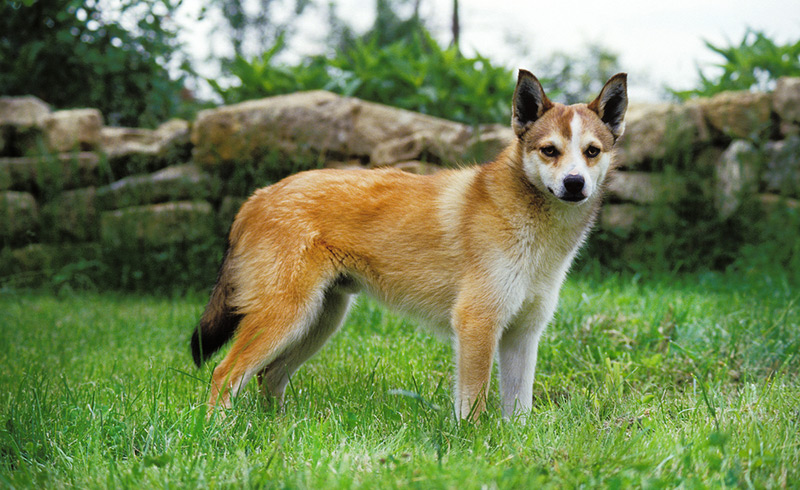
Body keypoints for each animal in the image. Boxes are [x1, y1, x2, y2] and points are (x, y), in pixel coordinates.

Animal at [191, 70, 628, 422]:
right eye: (549, 150)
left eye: (592, 151)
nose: (575, 183)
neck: (530, 223)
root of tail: (259, 196)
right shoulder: (477, 324)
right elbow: (473, 406)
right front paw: (471, 446)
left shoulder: (523, 334)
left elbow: (518, 410)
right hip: (287, 317)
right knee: (225, 374)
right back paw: (219, 433)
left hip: (318, 321)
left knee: (270, 377)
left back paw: (277, 430)